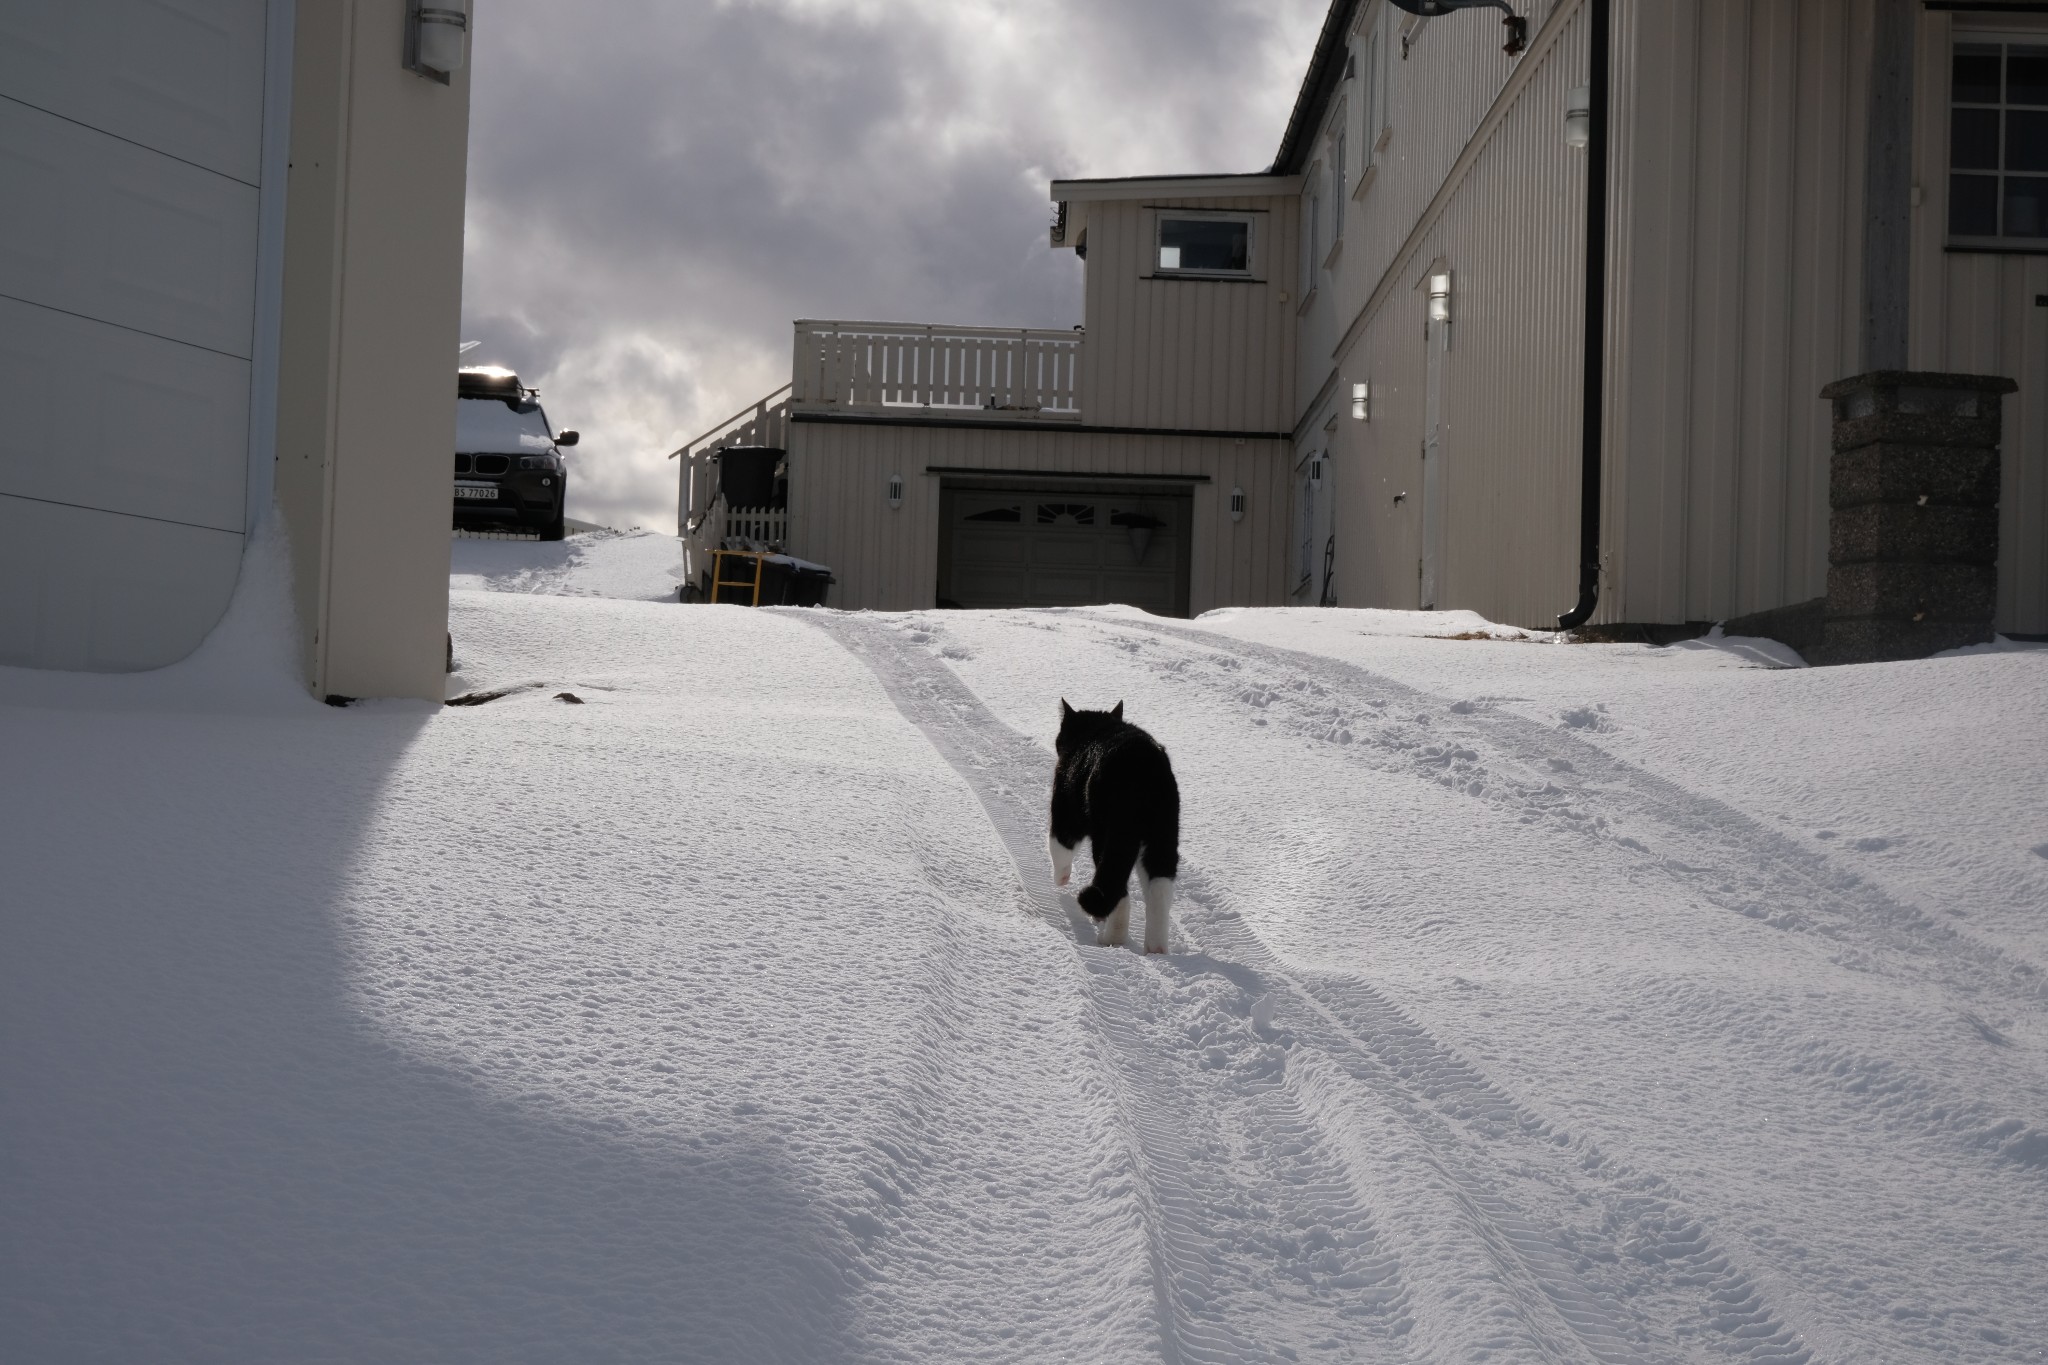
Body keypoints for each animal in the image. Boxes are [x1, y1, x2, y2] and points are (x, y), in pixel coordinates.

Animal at [1048, 699, 1179, 957]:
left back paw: (1112, 938)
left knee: (1115, 883)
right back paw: (1156, 948)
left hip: (1110, 832)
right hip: (1163, 833)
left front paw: (1060, 879)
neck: (1096, 728)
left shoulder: (1065, 804)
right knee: (1159, 886)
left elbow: (1059, 847)